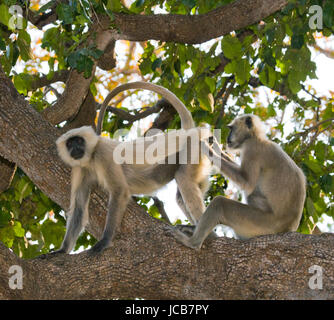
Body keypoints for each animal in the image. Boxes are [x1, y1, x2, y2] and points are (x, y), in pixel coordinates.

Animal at [54, 81, 211, 254]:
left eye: (79, 141)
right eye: (70, 143)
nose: (75, 148)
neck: (91, 158)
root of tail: (186, 133)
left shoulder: (103, 154)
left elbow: (119, 191)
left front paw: (105, 241)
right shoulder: (80, 169)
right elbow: (79, 209)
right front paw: (62, 250)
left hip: (191, 151)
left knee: (184, 180)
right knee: (181, 195)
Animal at [171, 115, 306, 250]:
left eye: (231, 129)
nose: (227, 138)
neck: (255, 137)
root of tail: (290, 227)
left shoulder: (252, 148)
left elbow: (246, 183)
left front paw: (207, 148)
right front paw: (216, 147)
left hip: (263, 224)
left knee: (221, 203)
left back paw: (193, 243)